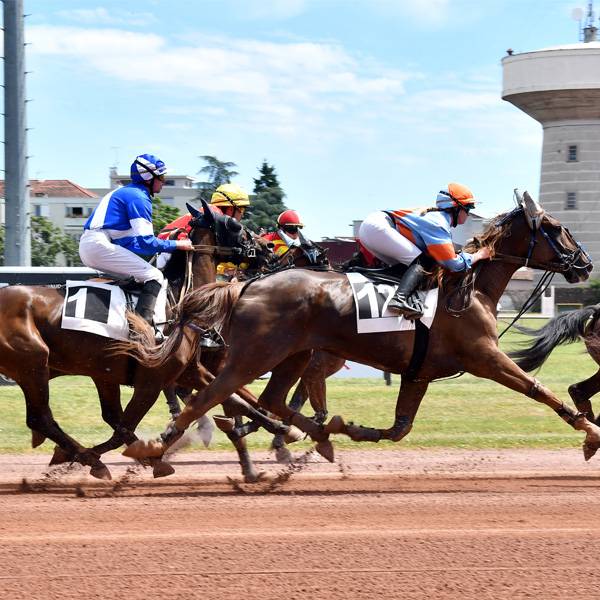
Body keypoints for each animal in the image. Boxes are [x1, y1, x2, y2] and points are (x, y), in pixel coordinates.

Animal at [120, 192, 600, 464]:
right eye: (557, 228)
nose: (585, 264)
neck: (470, 290)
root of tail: (245, 285)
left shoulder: (419, 371)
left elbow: (400, 426)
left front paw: (351, 429)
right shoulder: (485, 356)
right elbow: (538, 389)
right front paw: (592, 434)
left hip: (291, 355)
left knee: (272, 400)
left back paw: (312, 437)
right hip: (253, 357)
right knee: (210, 396)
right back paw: (156, 446)